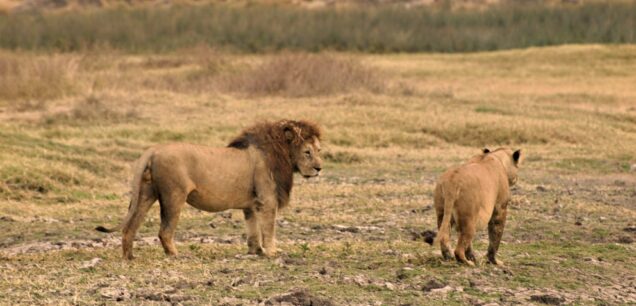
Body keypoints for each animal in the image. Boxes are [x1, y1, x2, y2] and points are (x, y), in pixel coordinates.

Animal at [95, 120, 322, 260]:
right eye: (307, 152)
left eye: (319, 150)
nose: (319, 168)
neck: (282, 155)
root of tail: (153, 150)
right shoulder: (267, 200)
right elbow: (268, 228)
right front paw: (272, 252)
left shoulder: (251, 204)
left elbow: (253, 229)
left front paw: (255, 251)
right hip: (174, 195)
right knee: (164, 231)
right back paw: (176, 255)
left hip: (146, 193)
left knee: (130, 227)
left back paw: (129, 257)